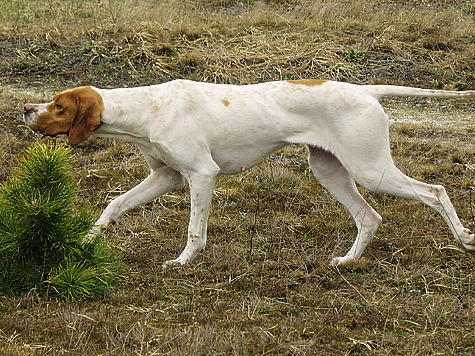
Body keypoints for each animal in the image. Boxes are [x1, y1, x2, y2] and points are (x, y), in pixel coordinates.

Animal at [23, 78, 475, 268]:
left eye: (58, 105)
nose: (27, 108)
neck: (145, 109)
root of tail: (367, 90)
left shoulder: (201, 175)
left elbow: (195, 232)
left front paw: (182, 263)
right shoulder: (167, 177)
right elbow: (114, 206)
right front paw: (85, 240)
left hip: (371, 169)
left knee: (435, 191)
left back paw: (465, 239)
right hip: (330, 171)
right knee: (370, 216)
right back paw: (347, 261)